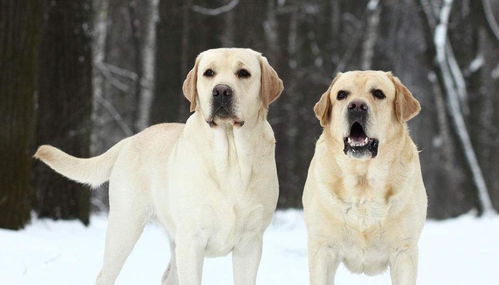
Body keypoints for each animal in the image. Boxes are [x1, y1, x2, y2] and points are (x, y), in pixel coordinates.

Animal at [34, 47, 284, 282]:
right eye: (209, 73)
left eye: (243, 73)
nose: (221, 90)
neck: (230, 158)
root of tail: (130, 139)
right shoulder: (191, 240)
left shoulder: (250, 243)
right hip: (125, 224)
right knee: (105, 274)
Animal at [302, 71, 428, 284]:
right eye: (342, 95)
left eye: (378, 93)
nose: (356, 106)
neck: (363, 180)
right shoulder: (322, 247)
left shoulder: (404, 251)